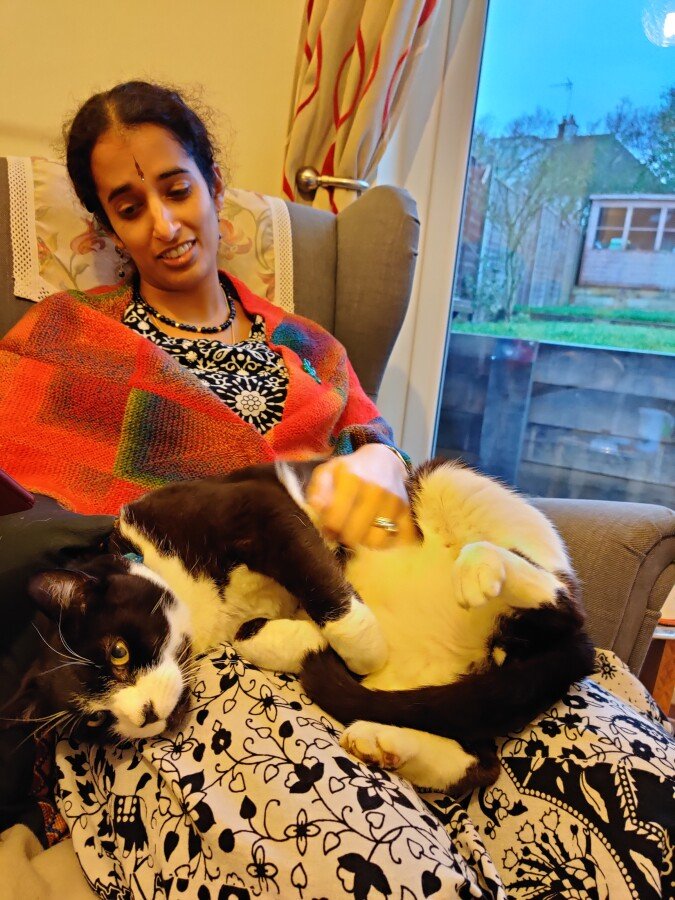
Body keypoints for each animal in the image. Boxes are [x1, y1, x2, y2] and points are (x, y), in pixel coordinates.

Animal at [13, 459, 595, 794]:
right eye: (96, 721)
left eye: (117, 651)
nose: (146, 715)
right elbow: (256, 633)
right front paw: (309, 642)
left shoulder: (256, 507)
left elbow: (320, 577)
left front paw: (361, 646)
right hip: (448, 692)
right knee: (480, 760)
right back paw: (384, 741)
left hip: (447, 483)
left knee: (562, 605)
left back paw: (483, 570)